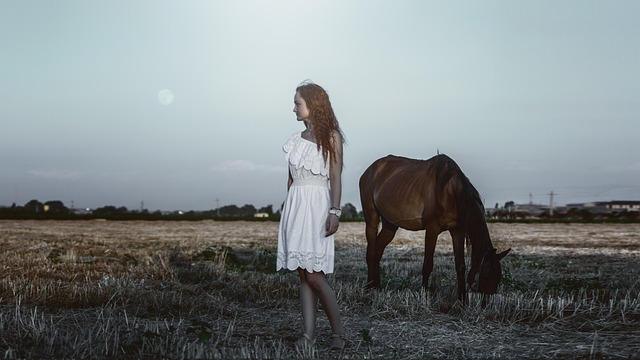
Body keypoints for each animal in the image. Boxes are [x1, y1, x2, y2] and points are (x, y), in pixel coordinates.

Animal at [360, 153, 510, 302]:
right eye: (486, 275)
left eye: (499, 277)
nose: (487, 300)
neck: (448, 190)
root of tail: (369, 170)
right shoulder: (432, 229)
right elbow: (427, 264)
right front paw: (424, 294)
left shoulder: (458, 231)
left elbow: (460, 265)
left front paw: (462, 299)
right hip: (372, 218)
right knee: (371, 252)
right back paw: (368, 287)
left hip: (390, 225)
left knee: (378, 250)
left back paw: (377, 287)